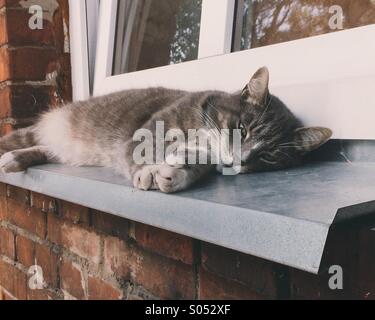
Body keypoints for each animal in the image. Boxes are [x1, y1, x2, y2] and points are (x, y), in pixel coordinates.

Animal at [0, 67, 334, 192]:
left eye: (268, 158)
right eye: (243, 129)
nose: (239, 160)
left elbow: (196, 164)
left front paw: (176, 173)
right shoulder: (147, 131)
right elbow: (144, 151)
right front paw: (147, 172)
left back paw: (17, 159)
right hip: (33, 132)